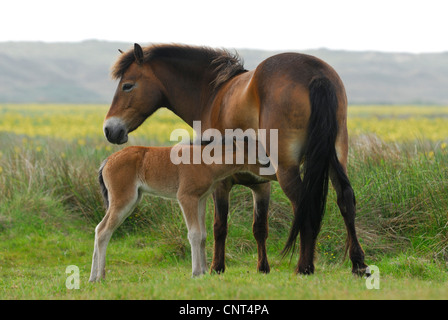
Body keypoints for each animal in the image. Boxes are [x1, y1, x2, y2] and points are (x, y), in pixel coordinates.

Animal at [89, 140, 258, 280]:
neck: (206, 162)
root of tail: (108, 160)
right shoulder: (186, 197)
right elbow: (195, 234)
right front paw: (196, 273)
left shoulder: (201, 199)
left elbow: (203, 235)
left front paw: (203, 271)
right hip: (123, 200)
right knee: (104, 231)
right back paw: (100, 276)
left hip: (130, 200)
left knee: (98, 228)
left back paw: (92, 278)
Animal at [104, 43, 368, 276]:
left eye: (127, 86)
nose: (109, 129)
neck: (213, 94)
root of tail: (316, 74)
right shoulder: (261, 185)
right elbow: (259, 228)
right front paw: (263, 268)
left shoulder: (221, 183)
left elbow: (219, 226)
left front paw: (216, 267)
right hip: (335, 158)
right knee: (345, 199)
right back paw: (358, 264)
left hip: (288, 170)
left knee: (304, 205)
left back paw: (305, 267)